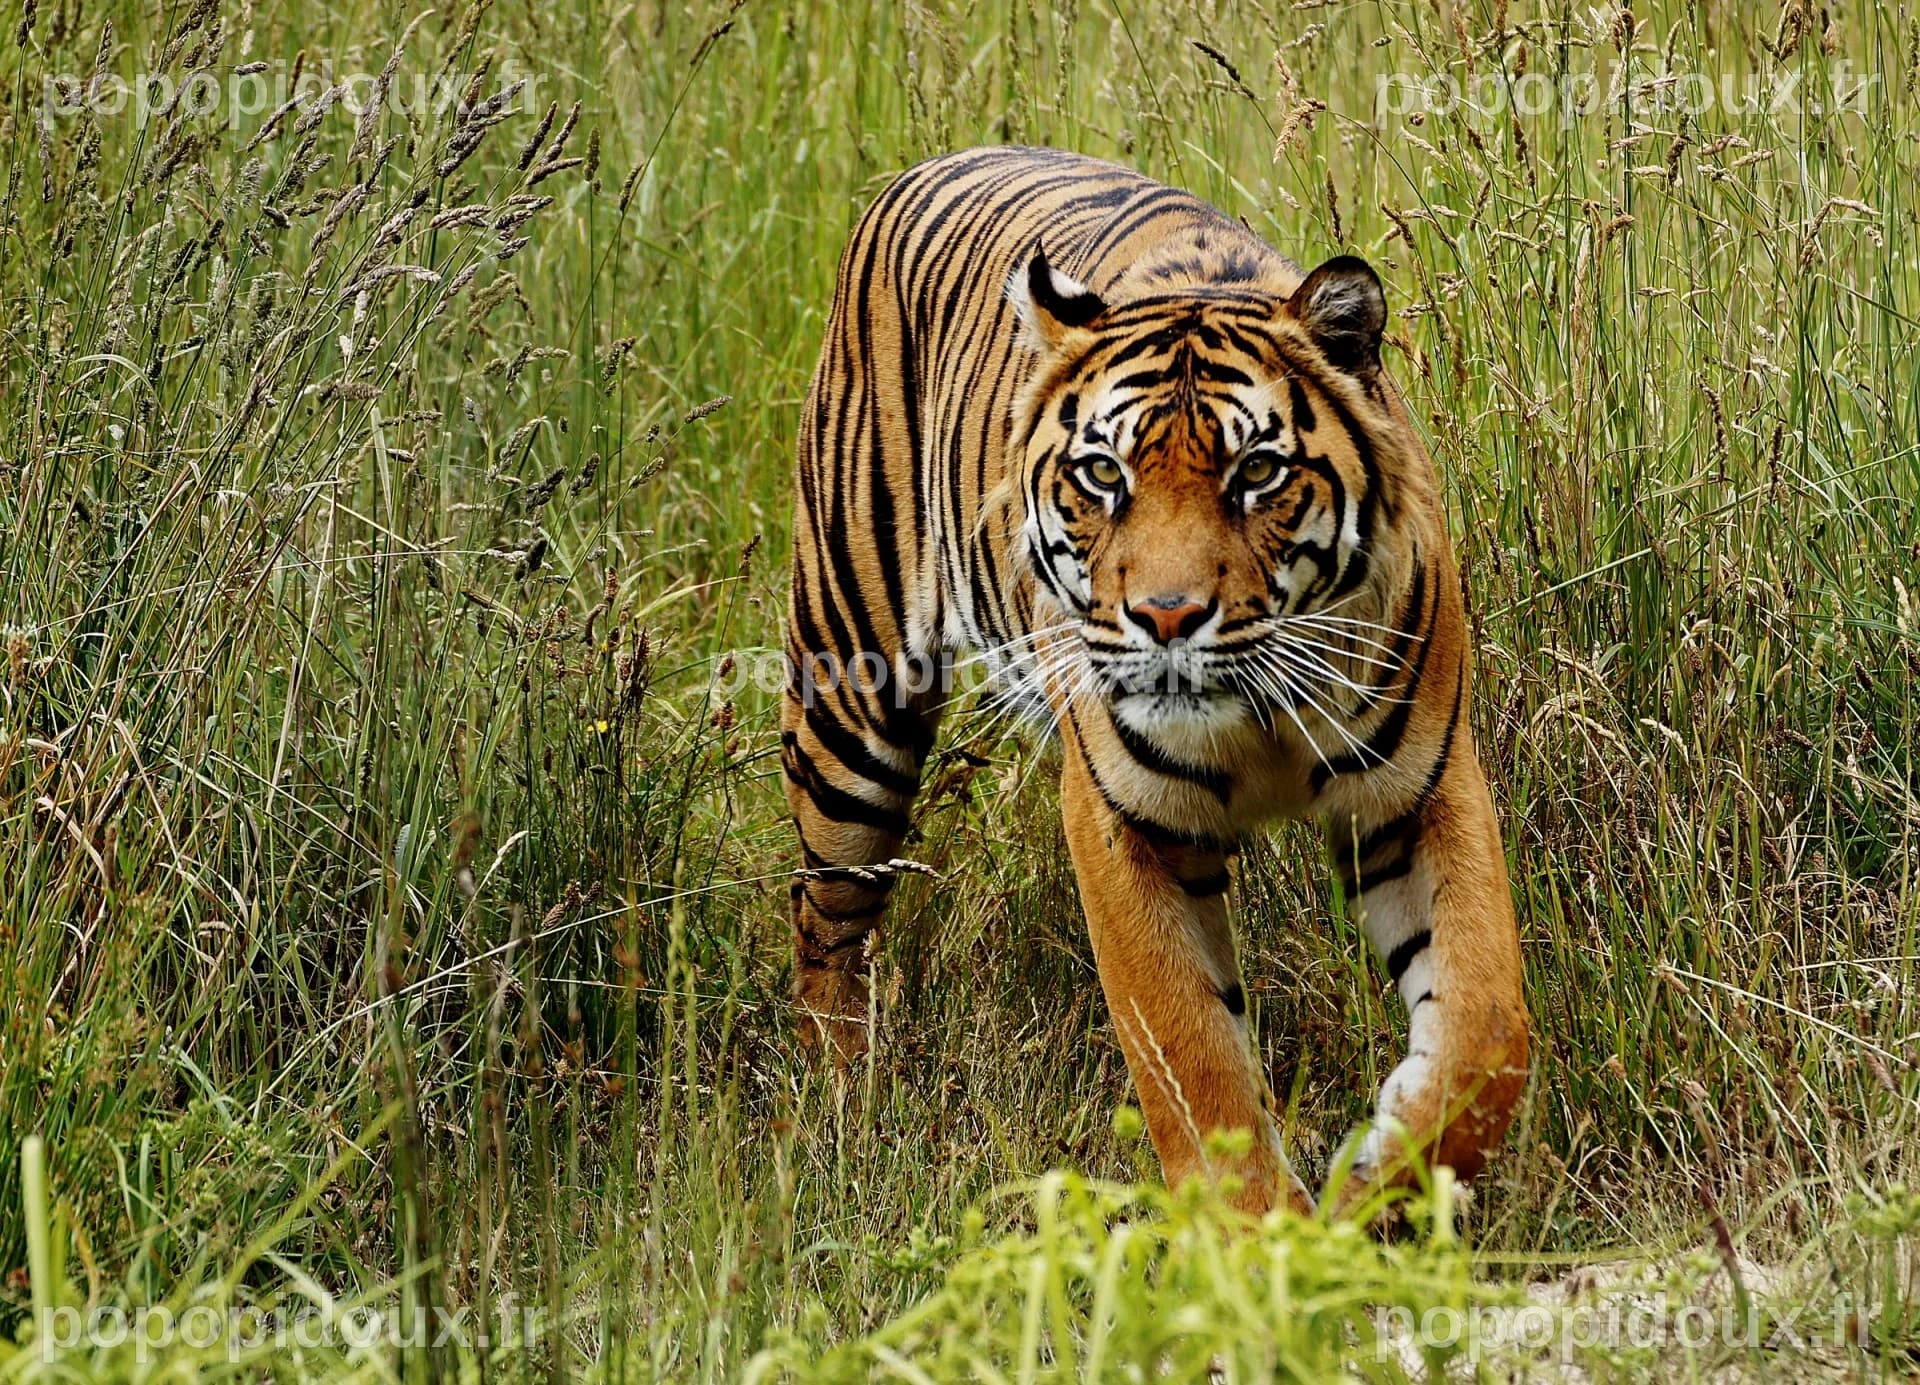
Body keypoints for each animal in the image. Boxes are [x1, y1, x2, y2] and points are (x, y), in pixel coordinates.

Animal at [781, 145, 1527, 1216]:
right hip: (851, 699)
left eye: (1257, 473)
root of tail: (926, 165)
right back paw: (843, 1110)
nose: (1167, 617)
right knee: (827, 920)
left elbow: (1486, 1028)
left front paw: (1377, 1184)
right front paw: (1264, 1241)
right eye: (1104, 474)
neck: (1258, 716)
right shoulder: (1123, 821)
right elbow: (1192, 1056)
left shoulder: (1418, 789)